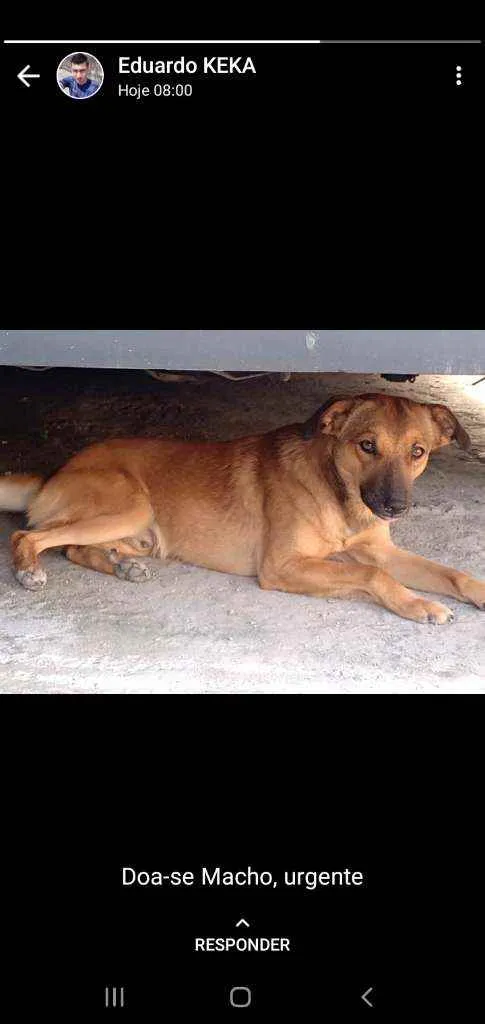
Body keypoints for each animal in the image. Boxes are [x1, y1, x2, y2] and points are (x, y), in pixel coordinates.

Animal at [0, 393, 482, 622]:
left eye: (418, 452)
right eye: (367, 446)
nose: (396, 507)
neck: (340, 496)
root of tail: (55, 472)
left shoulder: (380, 550)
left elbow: (450, 573)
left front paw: (473, 591)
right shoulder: (283, 566)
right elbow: (371, 575)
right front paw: (419, 605)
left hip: (138, 532)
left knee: (74, 548)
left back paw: (122, 565)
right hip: (131, 506)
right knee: (29, 534)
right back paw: (29, 569)